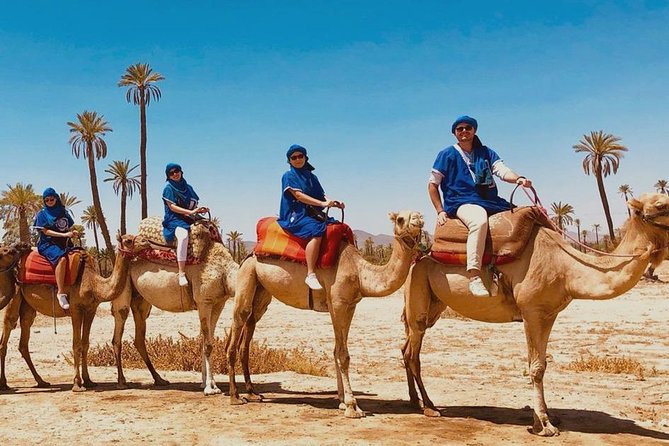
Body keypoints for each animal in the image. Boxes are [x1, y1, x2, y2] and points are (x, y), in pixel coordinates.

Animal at [0, 234, 151, 391]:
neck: (94, 284)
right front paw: (77, 383)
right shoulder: (75, 310)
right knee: (8, 326)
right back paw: (4, 384)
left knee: (24, 334)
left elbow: (85, 344)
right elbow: (76, 344)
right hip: (15, 293)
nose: (146, 241)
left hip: (28, 304)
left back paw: (41, 381)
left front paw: (88, 380)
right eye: (128, 240)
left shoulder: (91, 309)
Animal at [109, 221, 238, 395]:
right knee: (118, 331)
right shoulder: (204, 301)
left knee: (139, 336)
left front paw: (206, 383)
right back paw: (122, 382)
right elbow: (208, 344)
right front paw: (210, 388)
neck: (224, 271)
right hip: (122, 291)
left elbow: (206, 341)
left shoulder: (218, 303)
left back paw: (159, 380)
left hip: (141, 302)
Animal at [226, 210, 424, 418]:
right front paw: (352, 406)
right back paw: (235, 396)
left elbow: (337, 350)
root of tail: (250, 254)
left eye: (418, 214)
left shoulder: (349, 306)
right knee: (240, 319)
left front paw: (342, 401)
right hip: (247, 275)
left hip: (261, 289)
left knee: (250, 324)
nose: (418, 219)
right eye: (400, 219)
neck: (359, 273)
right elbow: (343, 354)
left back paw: (252, 393)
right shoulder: (338, 304)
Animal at [402, 192, 669, 436]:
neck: (567, 269)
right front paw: (545, 424)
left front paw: (544, 417)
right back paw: (429, 407)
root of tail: (421, 254)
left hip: (434, 304)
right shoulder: (531, 312)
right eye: (660, 205)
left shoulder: (549, 314)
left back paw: (415, 401)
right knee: (414, 353)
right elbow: (536, 368)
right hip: (418, 292)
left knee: (407, 349)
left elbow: (542, 364)